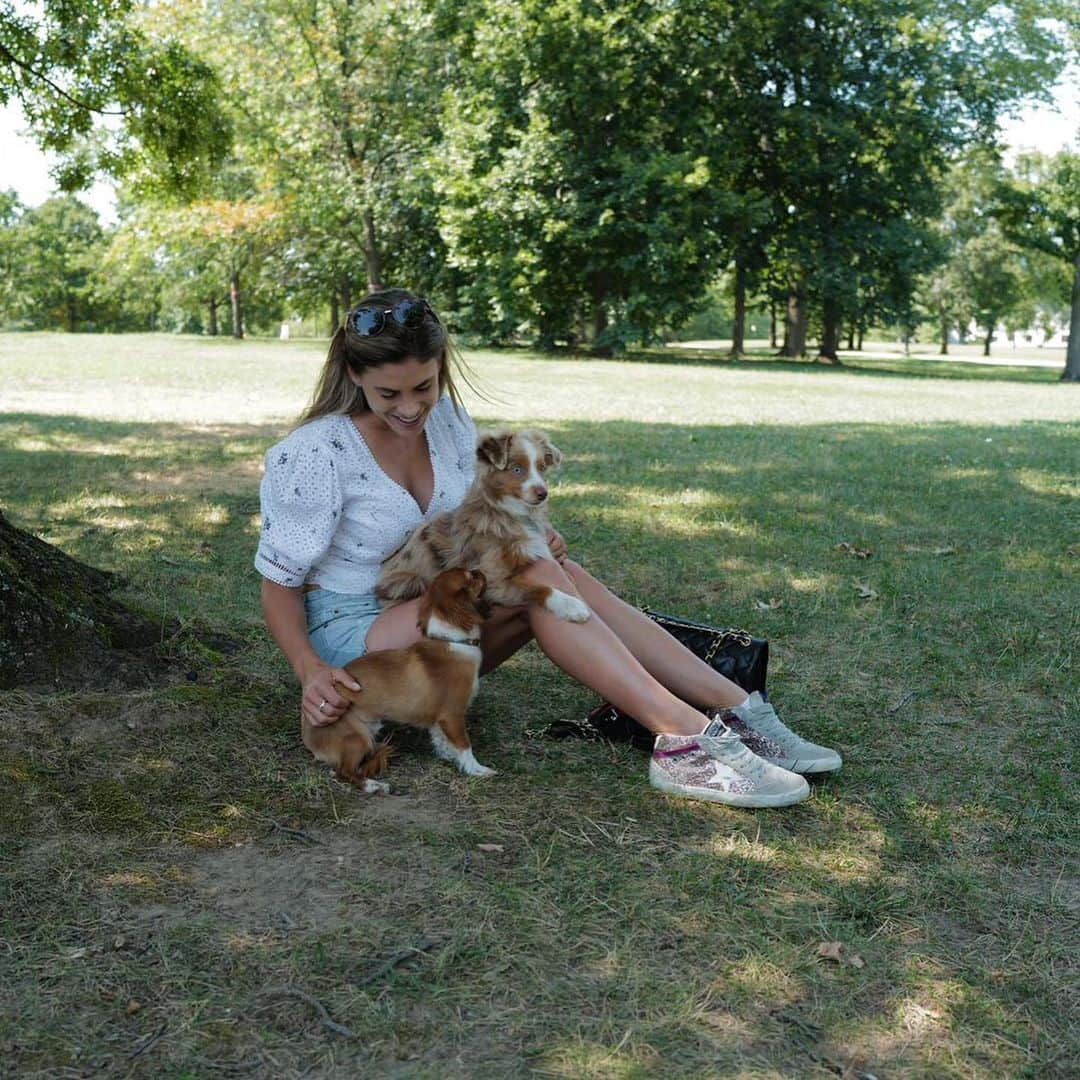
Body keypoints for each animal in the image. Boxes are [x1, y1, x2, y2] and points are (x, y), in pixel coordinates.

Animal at [300, 570, 494, 790]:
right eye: (471, 577)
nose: (480, 571)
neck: (453, 642)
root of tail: (308, 734)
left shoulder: (440, 718)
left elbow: (441, 738)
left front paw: (448, 755)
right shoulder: (452, 714)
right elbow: (464, 745)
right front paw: (476, 769)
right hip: (357, 738)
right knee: (344, 772)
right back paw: (374, 786)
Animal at [373, 425, 591, 622]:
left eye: (541, 468)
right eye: (516, 469)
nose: (543, 494)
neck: (510, 513)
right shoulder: (491, 579)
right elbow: (539, 588)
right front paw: (572, 605)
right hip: (410, 582)